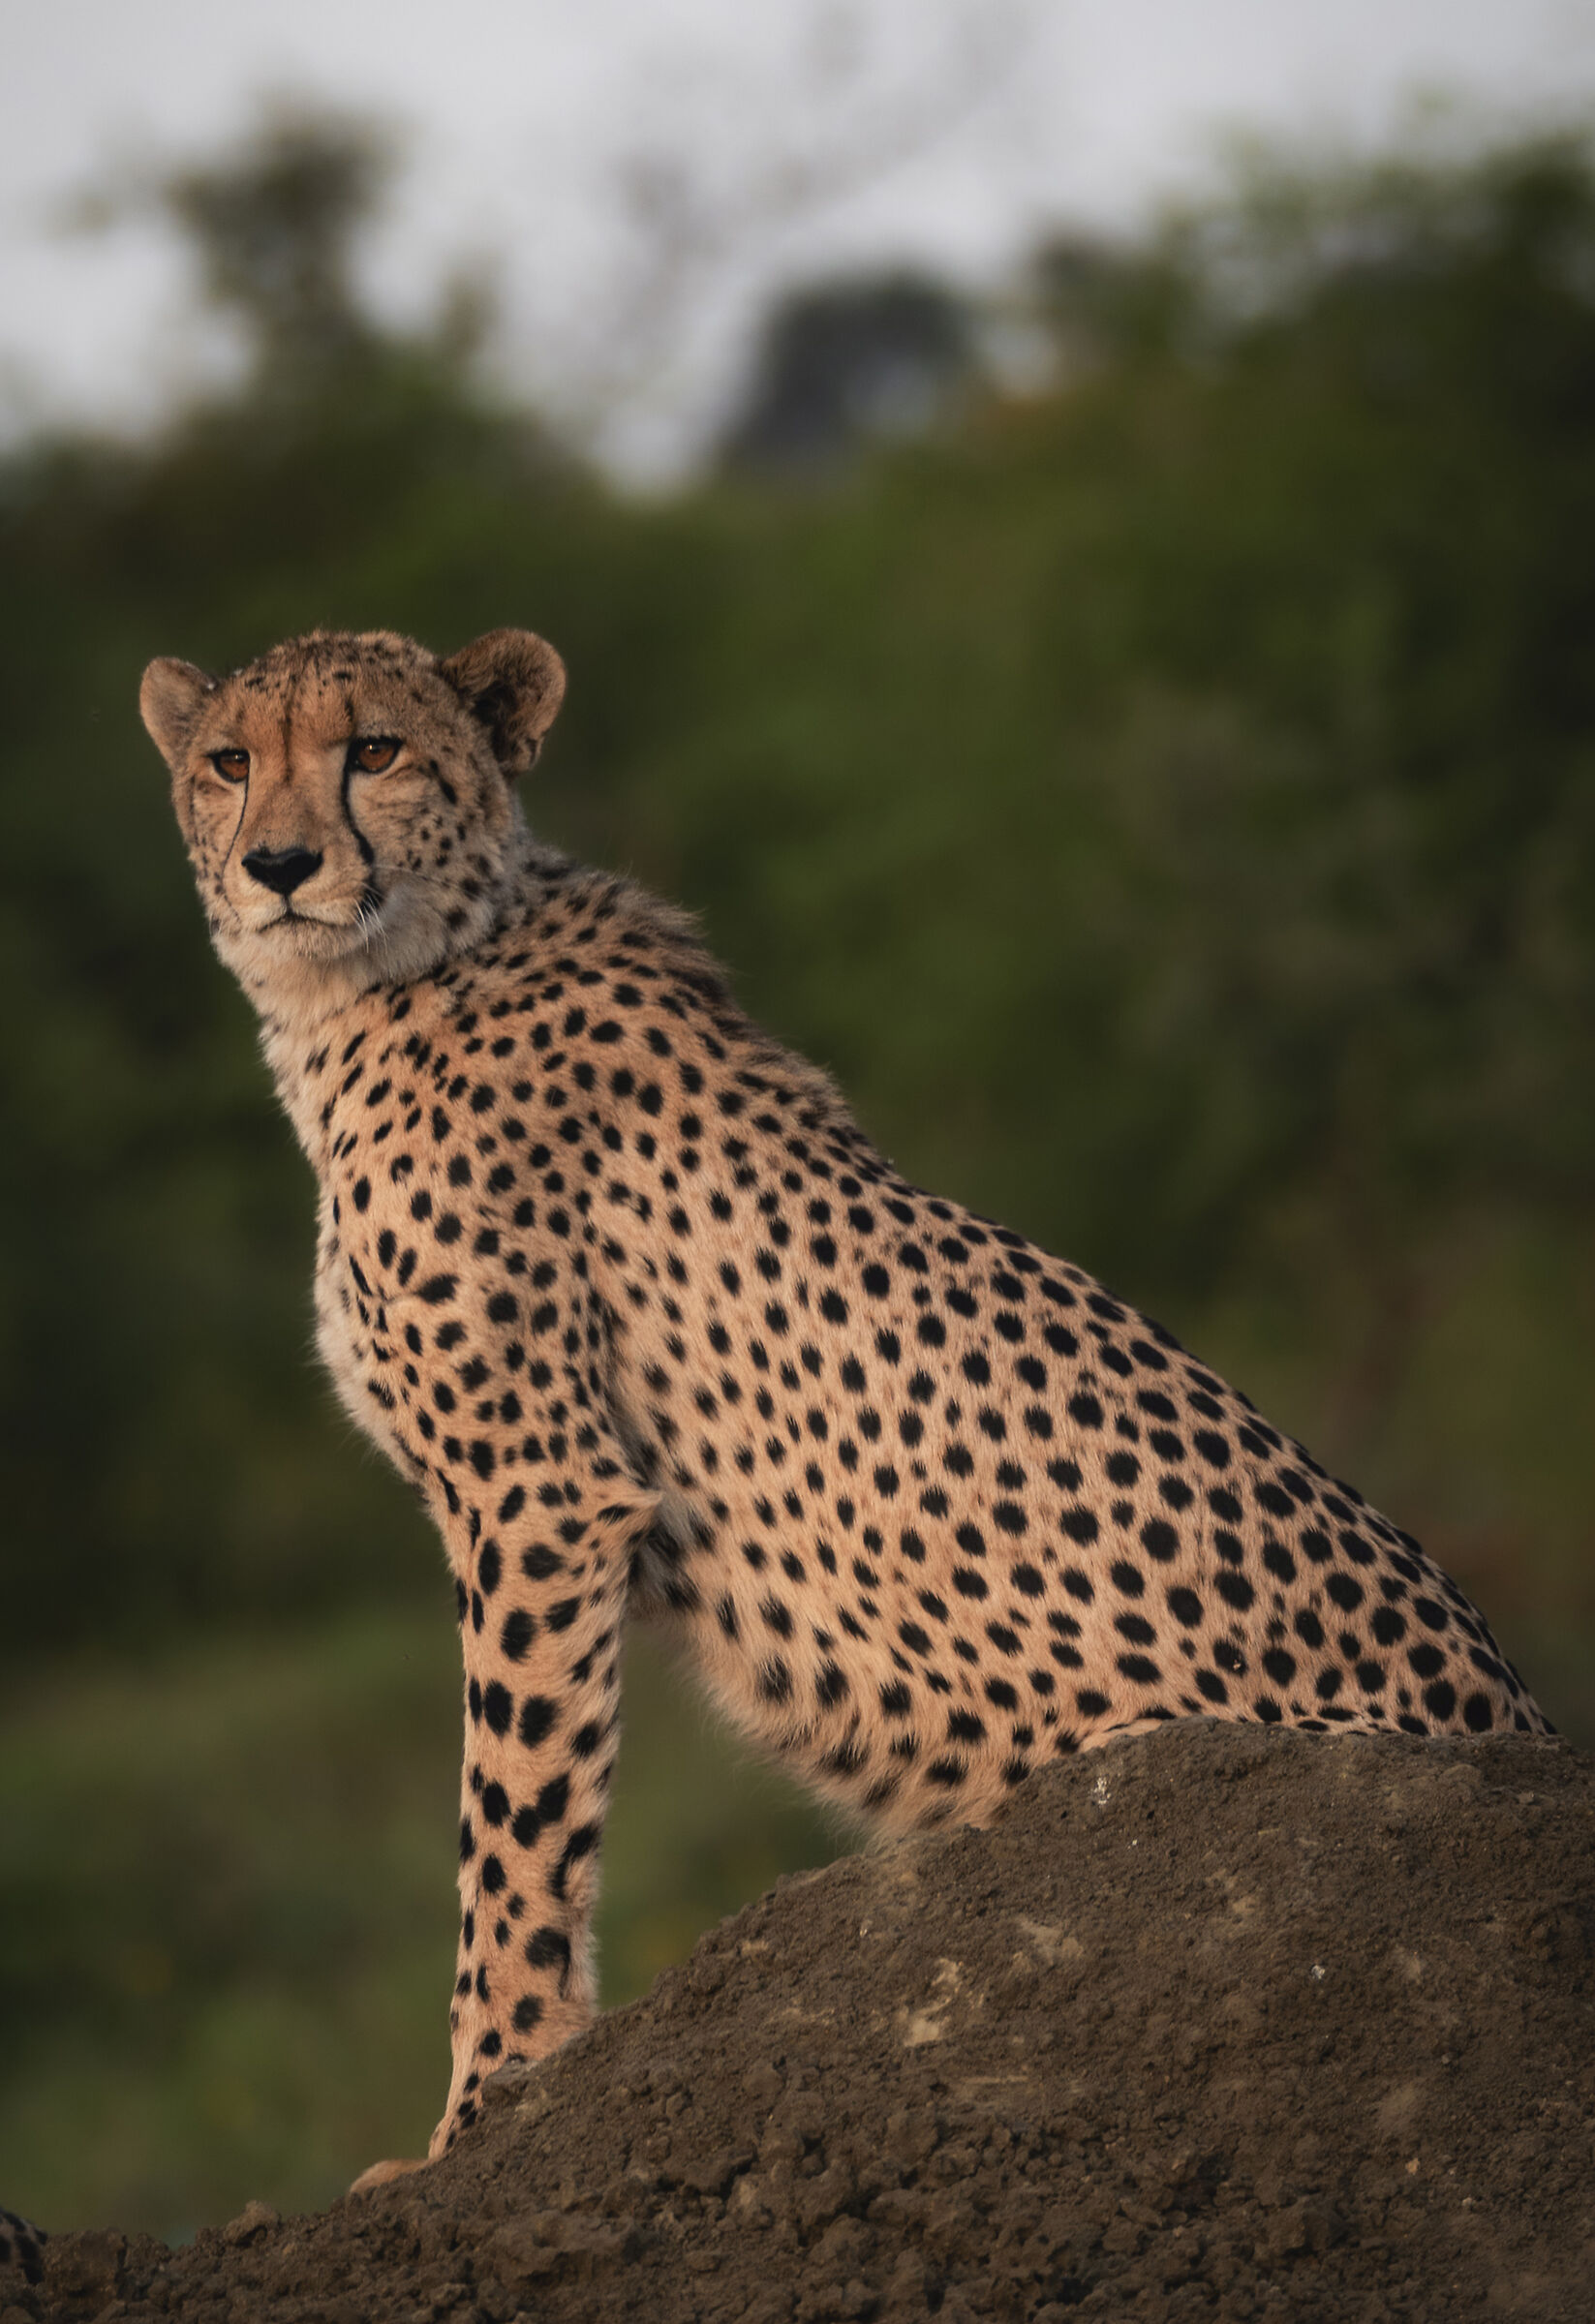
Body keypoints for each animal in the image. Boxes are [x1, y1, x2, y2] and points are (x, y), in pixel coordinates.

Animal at [140, 623, 1552, 2187]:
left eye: (374, 750)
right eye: (229, 761)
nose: (278, 864)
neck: (389, 979)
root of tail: (1522, 1719)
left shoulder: (540, 1495)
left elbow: (510, 1827)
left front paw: (471, 2120)